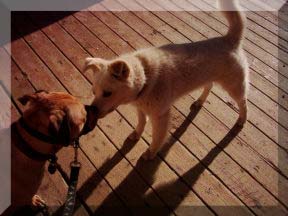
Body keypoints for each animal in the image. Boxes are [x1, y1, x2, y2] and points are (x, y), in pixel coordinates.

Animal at [84, 0, 249, 159]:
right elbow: (141, 123)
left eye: (107, 93)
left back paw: (241, 120)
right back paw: (199, 101)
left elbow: (157, 138)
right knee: (209, 86)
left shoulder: (161, 116)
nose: (90, 112)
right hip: (209, 76)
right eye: (94, 92)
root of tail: (230, 38)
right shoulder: (141, 109)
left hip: (234, 86)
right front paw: (136, 134)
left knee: (243, 102)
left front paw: (150, 153)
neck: (146, 78)